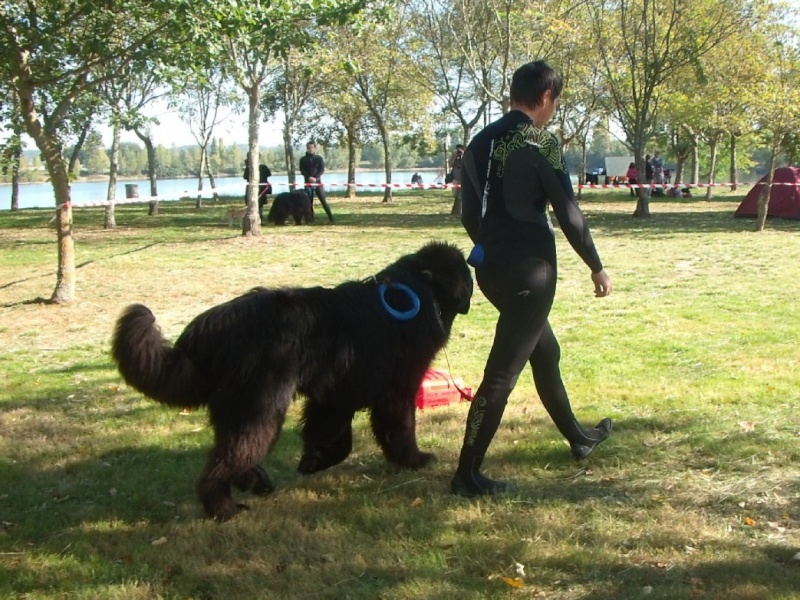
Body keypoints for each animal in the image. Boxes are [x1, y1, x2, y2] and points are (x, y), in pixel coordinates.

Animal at [114, 243, 476, 520]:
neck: (421, 286)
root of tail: (209, 329)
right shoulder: (397, 389)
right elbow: (399, 429)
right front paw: (415, 459)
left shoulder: (335, 396)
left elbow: (332, 436)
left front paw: (313, 460)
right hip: (260, 406)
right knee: (227, 459)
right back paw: (224, 508)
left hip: (239, 409)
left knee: (232, 450)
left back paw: (254, 482)